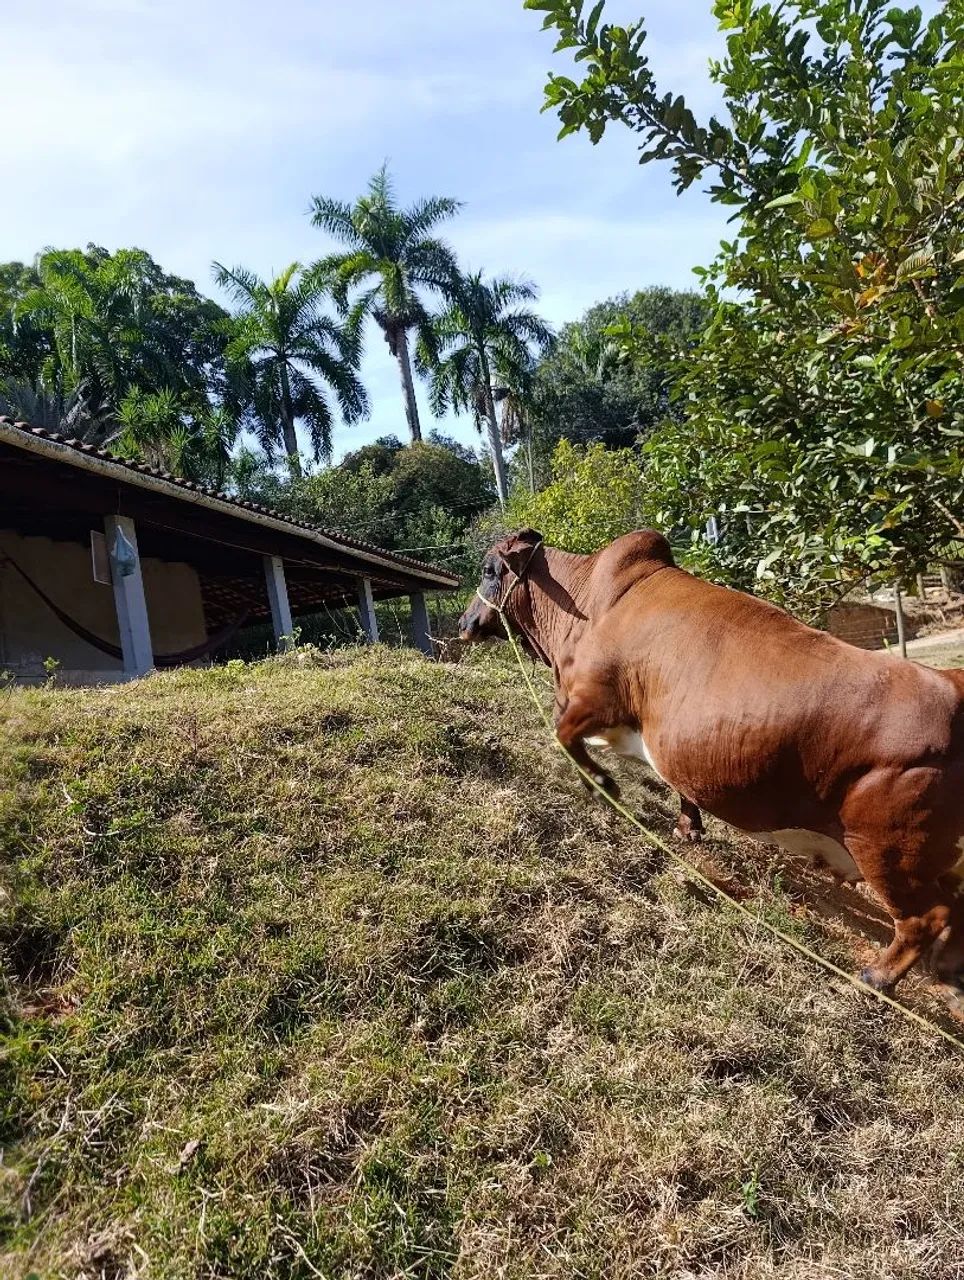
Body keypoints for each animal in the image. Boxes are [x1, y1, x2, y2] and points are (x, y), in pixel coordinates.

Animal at [458, 527, 964, 1007]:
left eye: (487, 570)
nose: (464, 623)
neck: (581, 614)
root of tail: (951, 685)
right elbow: (680, 783)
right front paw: (688, 827)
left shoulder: (591, 698)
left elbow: (562, 734)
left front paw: (602, 783)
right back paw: (949, 978)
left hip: (886, 849)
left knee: (926, 917)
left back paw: (876, 978)